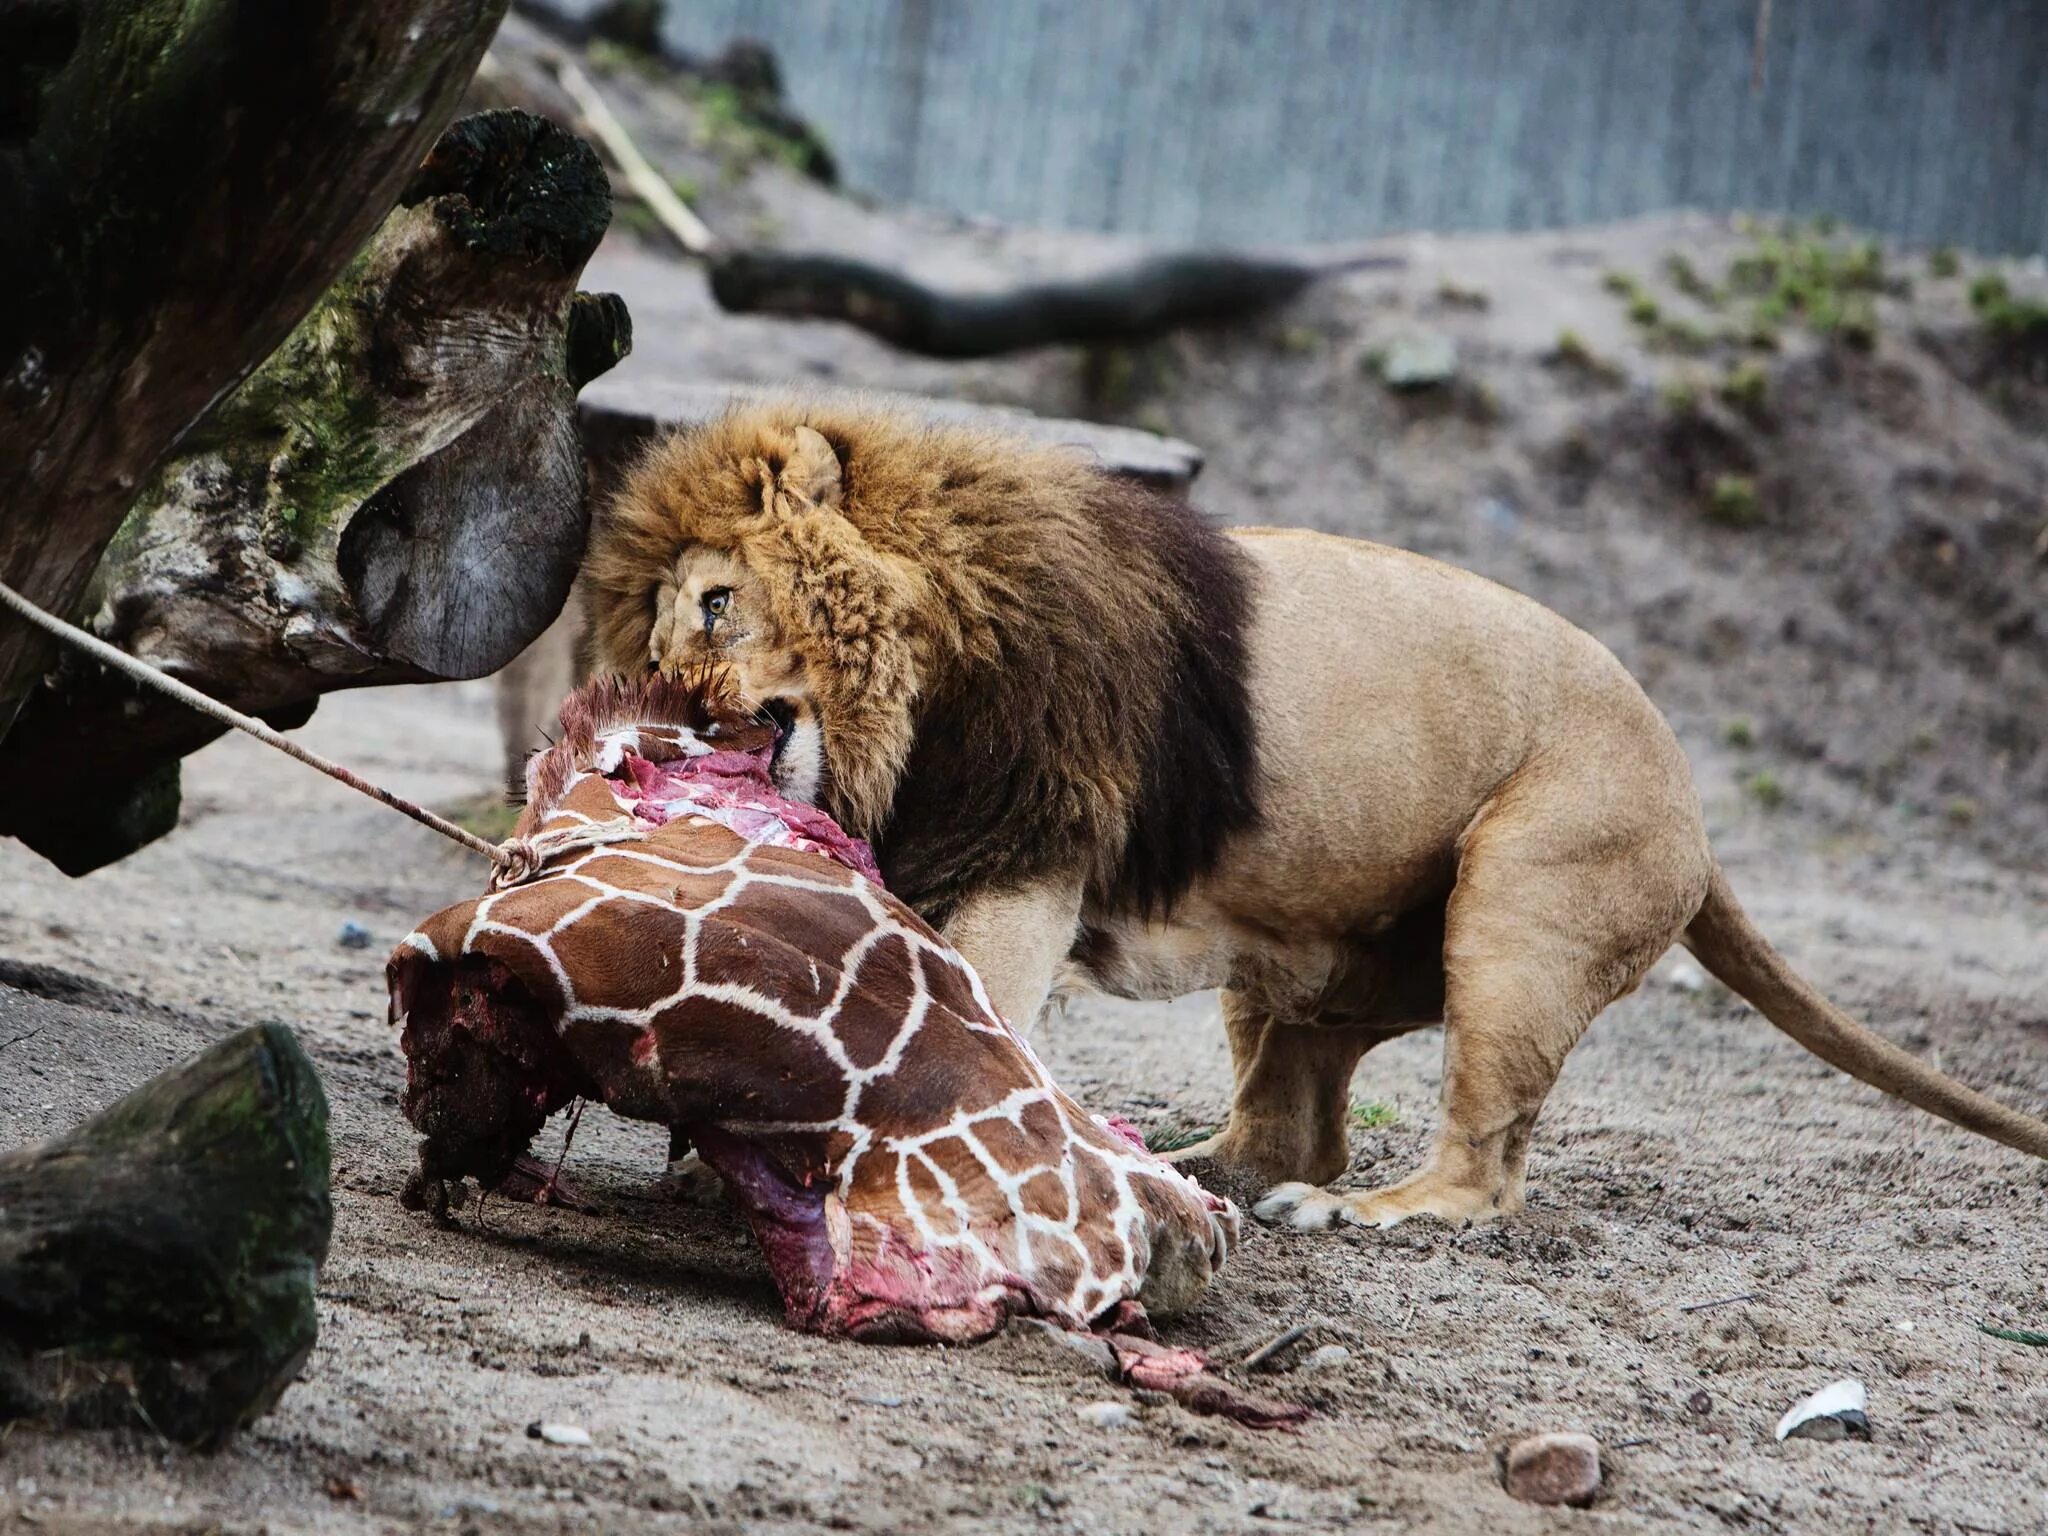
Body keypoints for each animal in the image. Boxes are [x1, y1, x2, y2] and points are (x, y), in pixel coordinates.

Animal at [581, 403, 2048, 1236]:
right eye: (655, 634)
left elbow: (968, 1013)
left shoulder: (1026, 856)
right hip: (1303, 958)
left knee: (1479, 1168)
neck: (920, 688)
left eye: (714, 604)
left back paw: (1362, 1216)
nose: (663, 708)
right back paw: (1194, 1167)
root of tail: (1692, 798)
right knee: (1291, 1120)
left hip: (1524, 908)